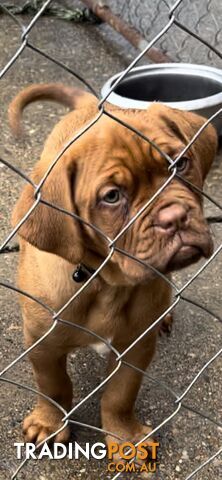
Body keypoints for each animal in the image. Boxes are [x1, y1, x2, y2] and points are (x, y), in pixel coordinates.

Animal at [10, 84, 217, 448]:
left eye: (180, 164)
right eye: (111, 197)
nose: (175, 217)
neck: (105, 283)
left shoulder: (134, 347)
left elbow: (120, 395)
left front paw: (125, 437)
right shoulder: (42, 342)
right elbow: (53, 386)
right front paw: (49, 423)